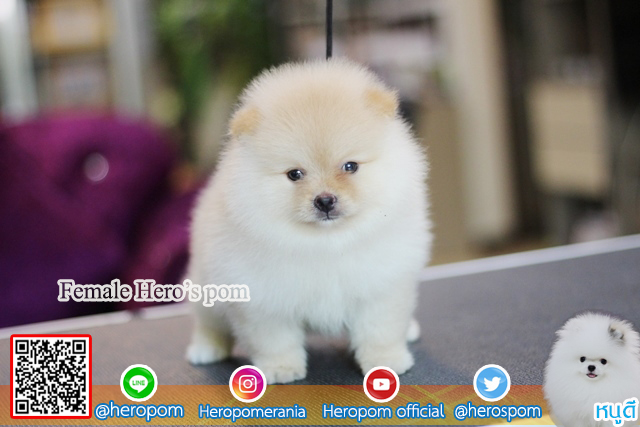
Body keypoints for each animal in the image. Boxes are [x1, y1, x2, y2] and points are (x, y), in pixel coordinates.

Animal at [185, 59, 431, 383]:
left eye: (350, 166)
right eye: (295, 174)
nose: (325, 200)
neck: (326, 243)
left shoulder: (381, 286)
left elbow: (381, 330)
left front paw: (386, 361)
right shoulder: (263, 297)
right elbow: (275, 339)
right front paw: (281, 368)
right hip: (207, 283)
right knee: (209, 322)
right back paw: (205, 348)